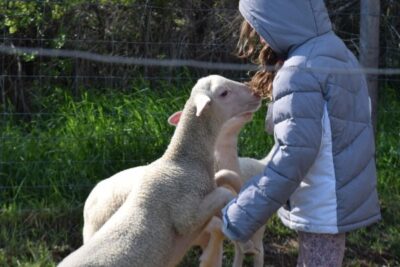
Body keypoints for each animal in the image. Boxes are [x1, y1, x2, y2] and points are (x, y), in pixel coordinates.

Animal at [57, 75, 260, 267]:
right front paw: (245, 241)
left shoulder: (205, 187)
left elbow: (226, 176)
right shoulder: (186, 216)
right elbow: (224, 194)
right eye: (224, 93)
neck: (180, 160)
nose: (257, 93)